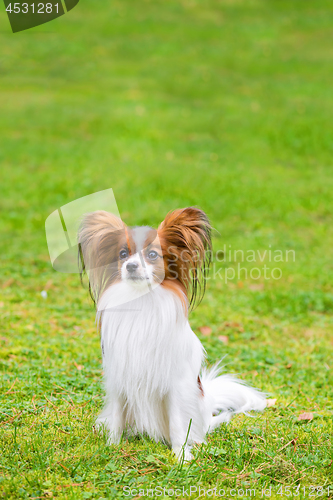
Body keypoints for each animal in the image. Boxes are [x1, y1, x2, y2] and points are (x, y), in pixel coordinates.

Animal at [78, 207, 264, 460]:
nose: (131, 266)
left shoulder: (175, 383)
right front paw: (111, 447)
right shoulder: (119, 377)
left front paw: (181, 457)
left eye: (152, 255)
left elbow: (177, 423)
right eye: (123, 254)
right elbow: (116, 417)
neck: (142, 301)